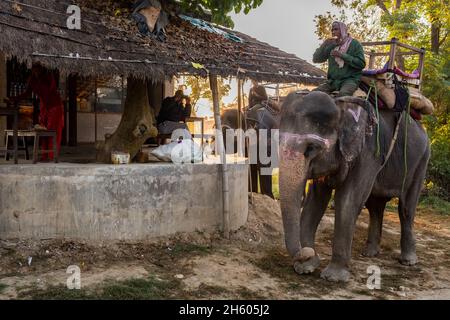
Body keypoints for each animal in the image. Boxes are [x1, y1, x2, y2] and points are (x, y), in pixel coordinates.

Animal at [280, 90, 430, 282]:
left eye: (311, 148)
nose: (305, 252)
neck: (340, 103)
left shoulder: (368, 152)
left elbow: (348, 201)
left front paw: (333, 277)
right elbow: (316, 201)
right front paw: (306, 268)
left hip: (421, 161)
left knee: (406, 208)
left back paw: (408, 261)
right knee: (375, 206)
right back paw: (370, 253)